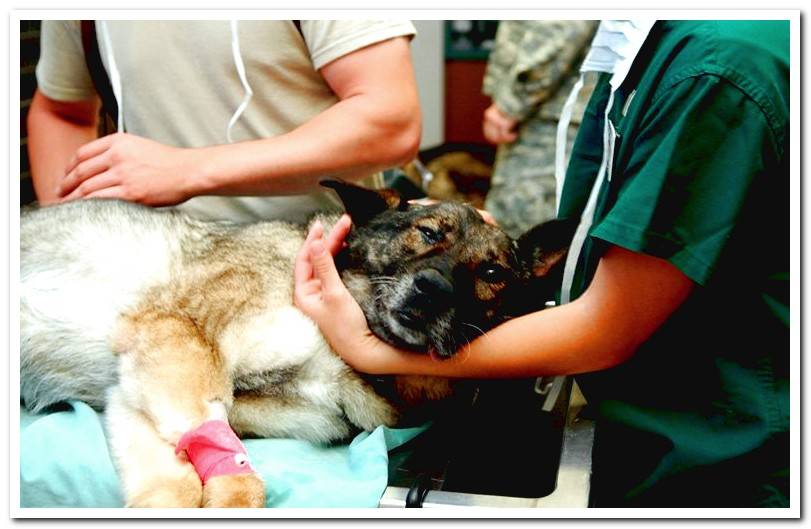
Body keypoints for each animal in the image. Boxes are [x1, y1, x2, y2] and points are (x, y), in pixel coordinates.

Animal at [20, 182, 576, 508]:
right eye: (427, 232)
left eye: (492, 274)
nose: (432, 290)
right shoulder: (175, 337)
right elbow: (230, 477)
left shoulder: (141, 390)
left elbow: (181, 479)